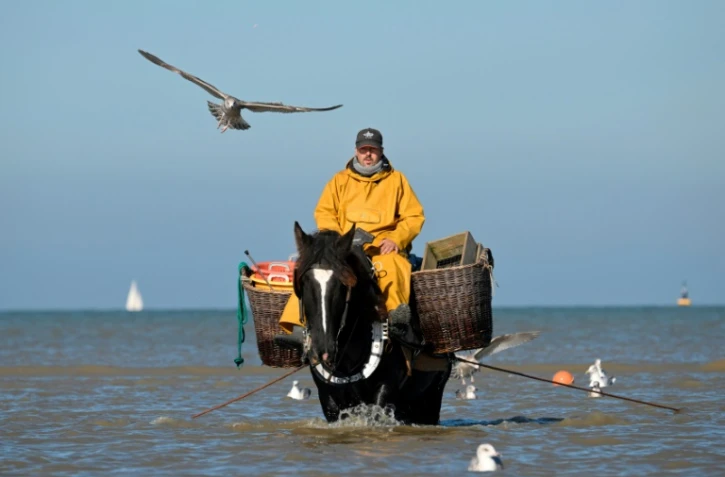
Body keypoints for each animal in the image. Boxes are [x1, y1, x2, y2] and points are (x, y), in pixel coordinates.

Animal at [292, 221, 452, 425]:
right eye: (304, 282)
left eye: (343, 284)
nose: (323, 350)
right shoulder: (328, 397)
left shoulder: (385, 389)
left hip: (431, 396)